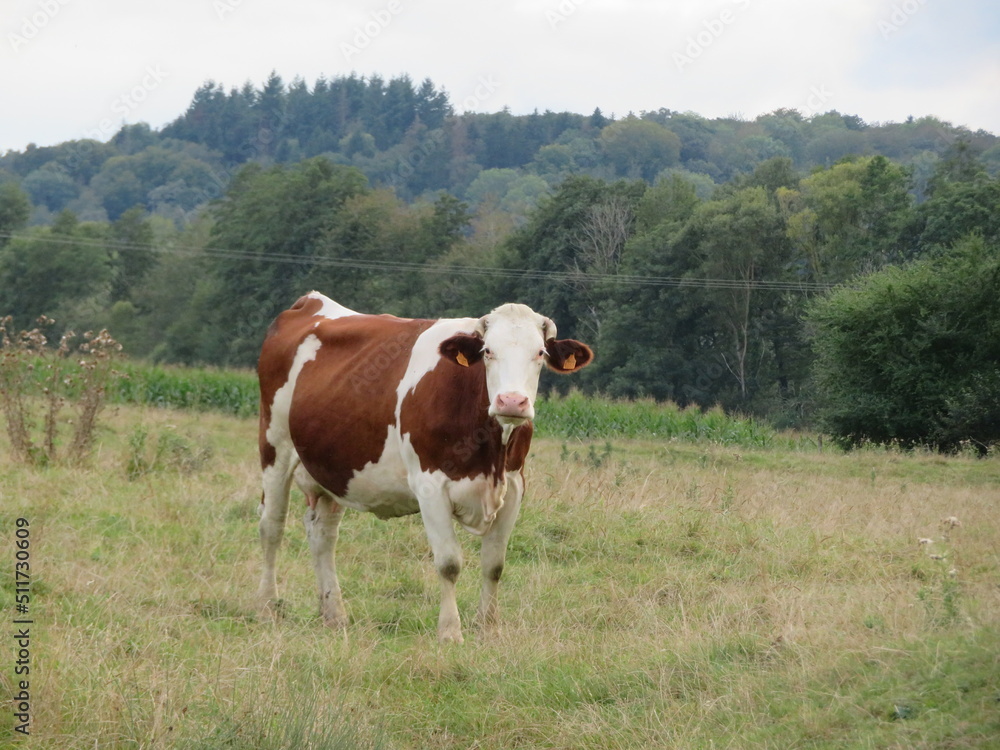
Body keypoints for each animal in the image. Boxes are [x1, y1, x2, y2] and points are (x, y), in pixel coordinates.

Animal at [256, 292, 593, 643]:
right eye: (488, 351)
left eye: (539, 352)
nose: (511, 401)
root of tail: (311, 301)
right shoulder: (430, 485)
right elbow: (449, 563)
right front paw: (450, 632)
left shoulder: (514, 486)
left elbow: (494, 564)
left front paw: (488, 628)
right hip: (274, 445)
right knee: (272, 526)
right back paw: (267, 608)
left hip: (335, 468)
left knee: (322, 534)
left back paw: (334, 614)